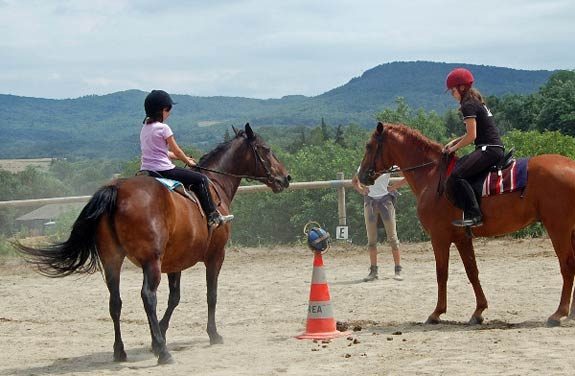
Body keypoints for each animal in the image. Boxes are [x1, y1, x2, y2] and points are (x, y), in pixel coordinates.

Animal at [15, 124, 292, 364]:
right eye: (266, 149)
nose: (286, 178)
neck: (214, 185)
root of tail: (116, 190)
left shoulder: (175, 262)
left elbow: (175, 298)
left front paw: (159, 334)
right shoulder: (215, 256)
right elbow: (210, 295)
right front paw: (211, 335)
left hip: (112, 259)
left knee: (115, 301)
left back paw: (121, 351)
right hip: (151, 262)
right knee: (148, 297)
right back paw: (163, 354)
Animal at [360, 122, 575, 326]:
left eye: (369, 146)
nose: (361, 176)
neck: (432, 175)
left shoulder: (439, 238)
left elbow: (441, 273)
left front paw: (437, 313)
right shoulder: (462, 239)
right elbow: (472, 271)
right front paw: (478, 311)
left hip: (558, 229)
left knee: (567, 265)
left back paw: (559, 314)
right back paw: (571, 314)